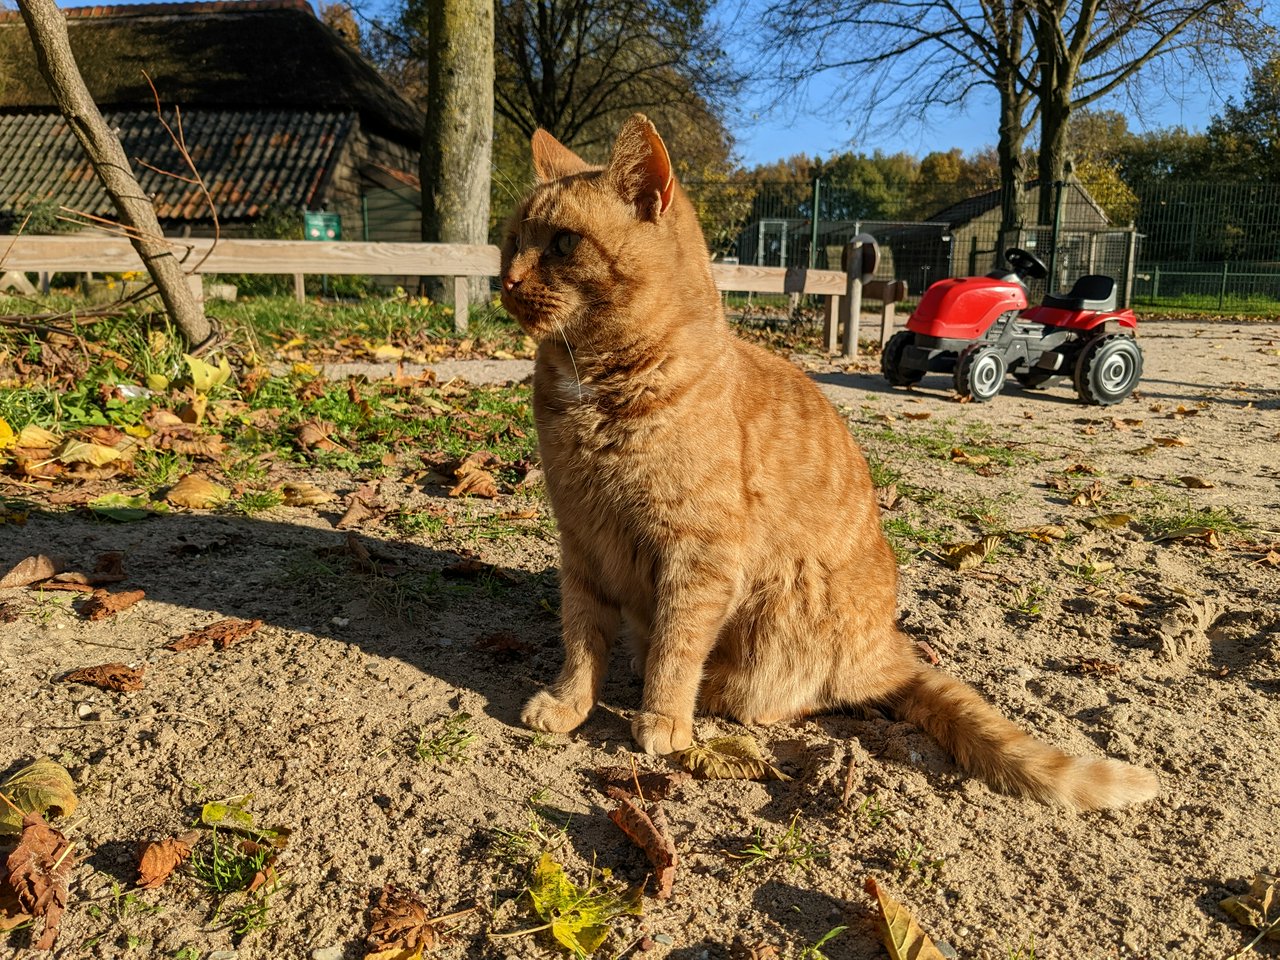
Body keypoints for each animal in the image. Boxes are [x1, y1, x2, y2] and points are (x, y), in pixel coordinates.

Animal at [501, 116, 1162, 814]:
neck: (595, 390)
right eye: (513, 239)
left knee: (779, 697)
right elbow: (580, 637)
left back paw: (709, 694)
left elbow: (676, 648)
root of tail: (888, 648)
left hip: (783, 606)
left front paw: (661, 718)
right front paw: (568, 705)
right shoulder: (583, 542)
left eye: (564, 243)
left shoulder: (698, 557)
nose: (507, 279)